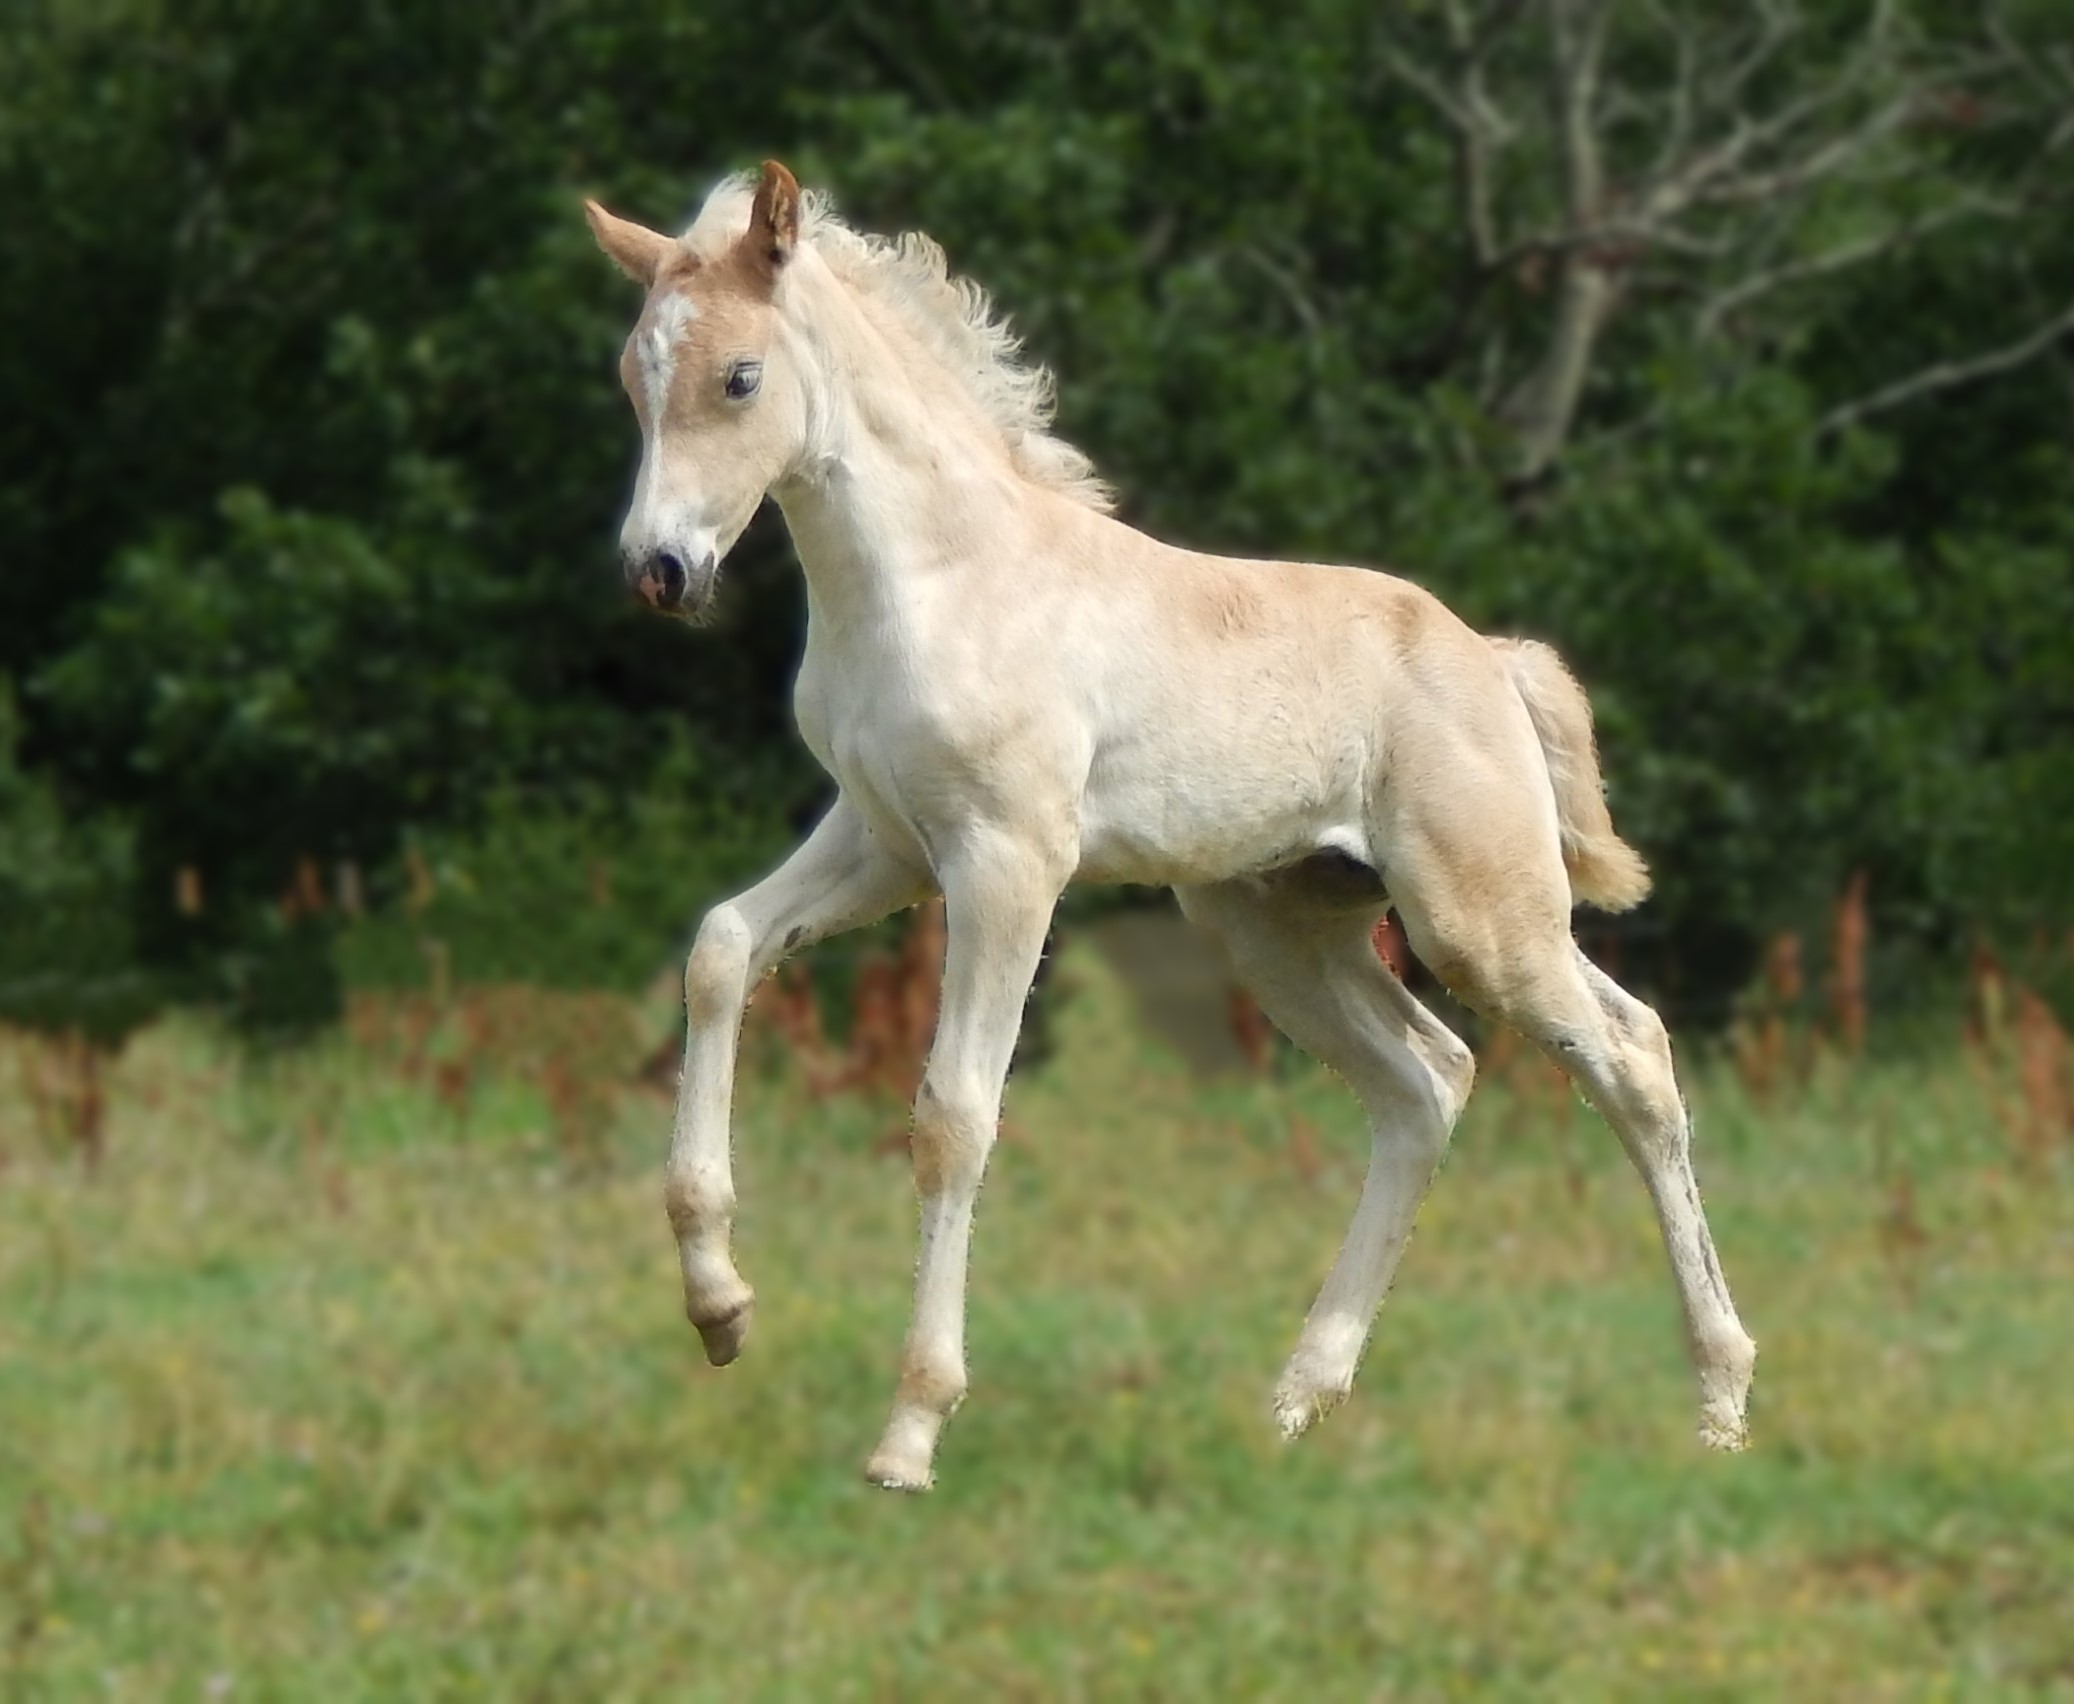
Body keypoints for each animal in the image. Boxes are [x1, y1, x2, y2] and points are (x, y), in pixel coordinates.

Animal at [585, 160, 1756, 1491]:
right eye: (632, 373)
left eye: (740, 378)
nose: (660, 570)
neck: (935, 578)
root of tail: (1495, 661)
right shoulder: (883, 841)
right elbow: (722, 948)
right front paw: (719, 1306)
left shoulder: (1008, 862)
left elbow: (954, 1116)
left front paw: (910, 1432)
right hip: (1284, 929)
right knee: (1427, 1080)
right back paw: (1301, 1396)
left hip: (1482, 919)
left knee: (1632, 1057)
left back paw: (1720, 1401)